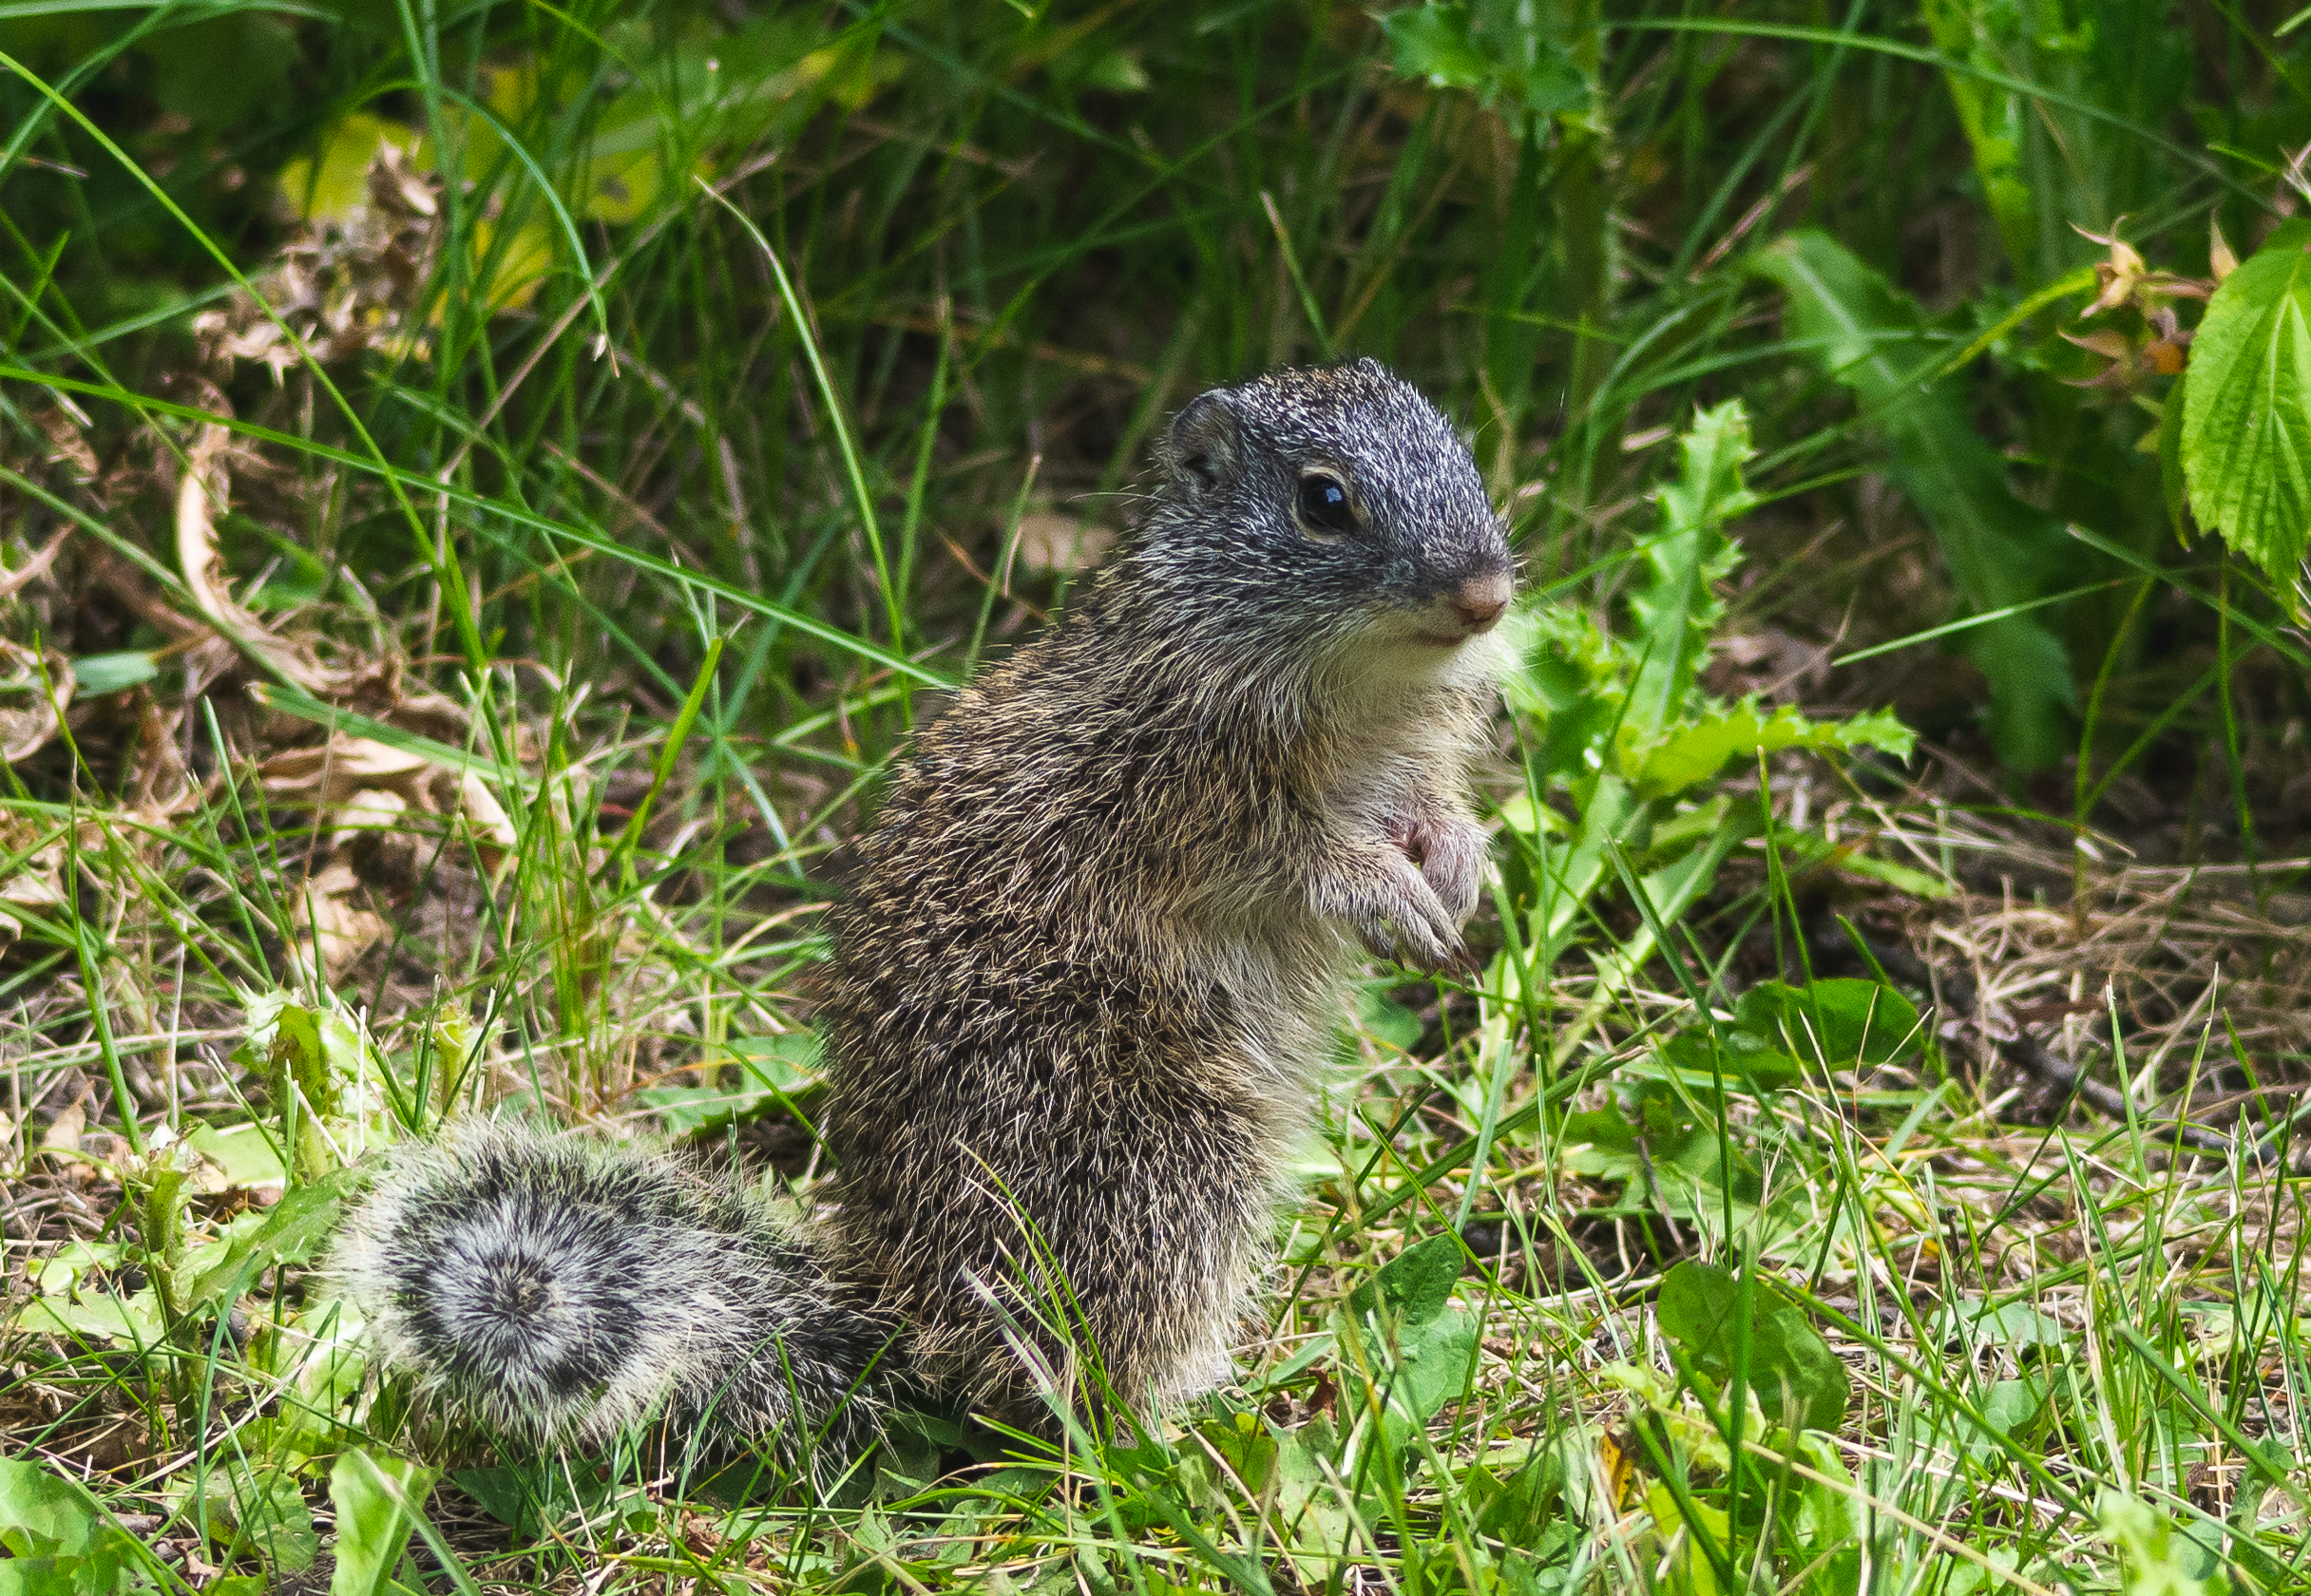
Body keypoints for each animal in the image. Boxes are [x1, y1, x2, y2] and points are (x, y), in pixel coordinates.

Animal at [332, 358, 1516, 1459]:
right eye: (1324, 501)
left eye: (1462, 452)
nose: (1486, 595)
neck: (1363, 690)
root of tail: (907, 1321)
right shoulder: (1183, 796)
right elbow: (1293, 857)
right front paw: (1392, 896)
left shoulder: (1411, 758)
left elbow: (1432, 804)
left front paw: (1458, 868)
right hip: (1167, 1170)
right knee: (1068, 1376)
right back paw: (1178, 1442)